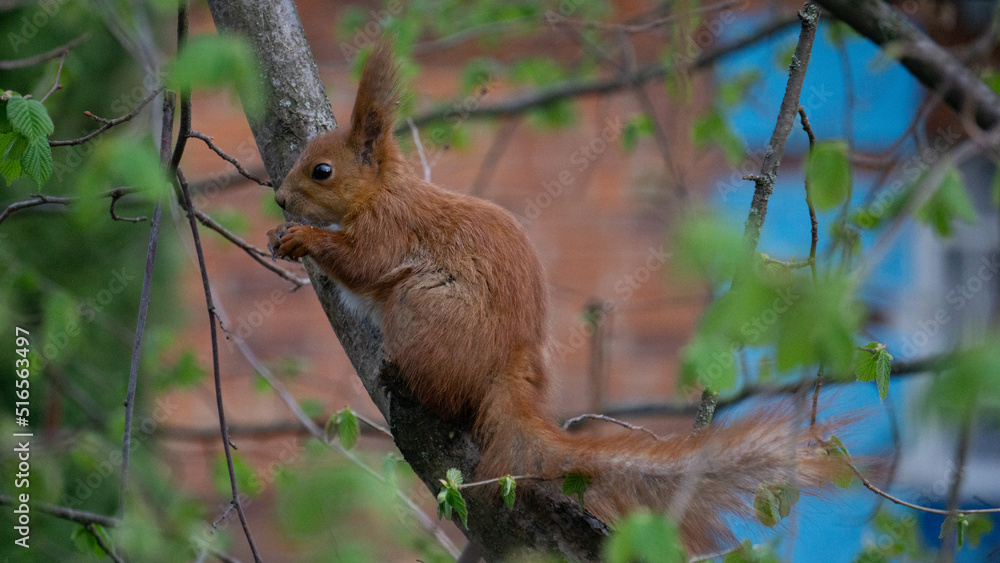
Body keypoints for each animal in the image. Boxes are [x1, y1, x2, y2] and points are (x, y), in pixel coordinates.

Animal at [267, 41, 846, 554]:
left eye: (322, 171)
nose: (280, 198)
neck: (381, 192)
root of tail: (508, 369)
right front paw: (281, 235)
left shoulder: (391, 231)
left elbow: (363, 263)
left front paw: (304, 239)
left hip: (426, 306)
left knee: (447, 396)